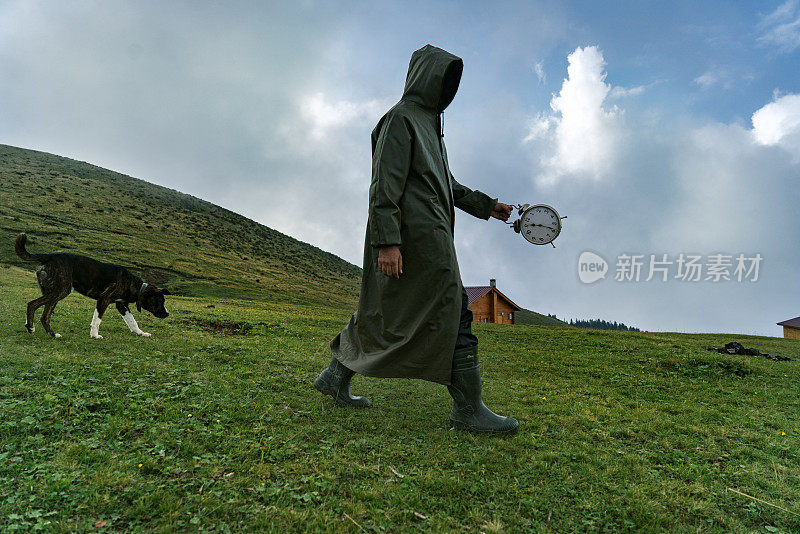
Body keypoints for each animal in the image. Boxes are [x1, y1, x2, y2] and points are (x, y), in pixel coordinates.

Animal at [14, 233, 170, 340]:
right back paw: (33, 328)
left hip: (53, 293)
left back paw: (46, 332)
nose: (167, 314)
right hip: (60, 291)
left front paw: (140, 333)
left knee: (45, 315)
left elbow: (132, 321)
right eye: (160, 301)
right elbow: (97, 320)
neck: (135, 286)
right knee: (33, 305)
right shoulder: (103, 300)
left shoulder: (122, 305)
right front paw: (95, 335)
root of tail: (48, 256)